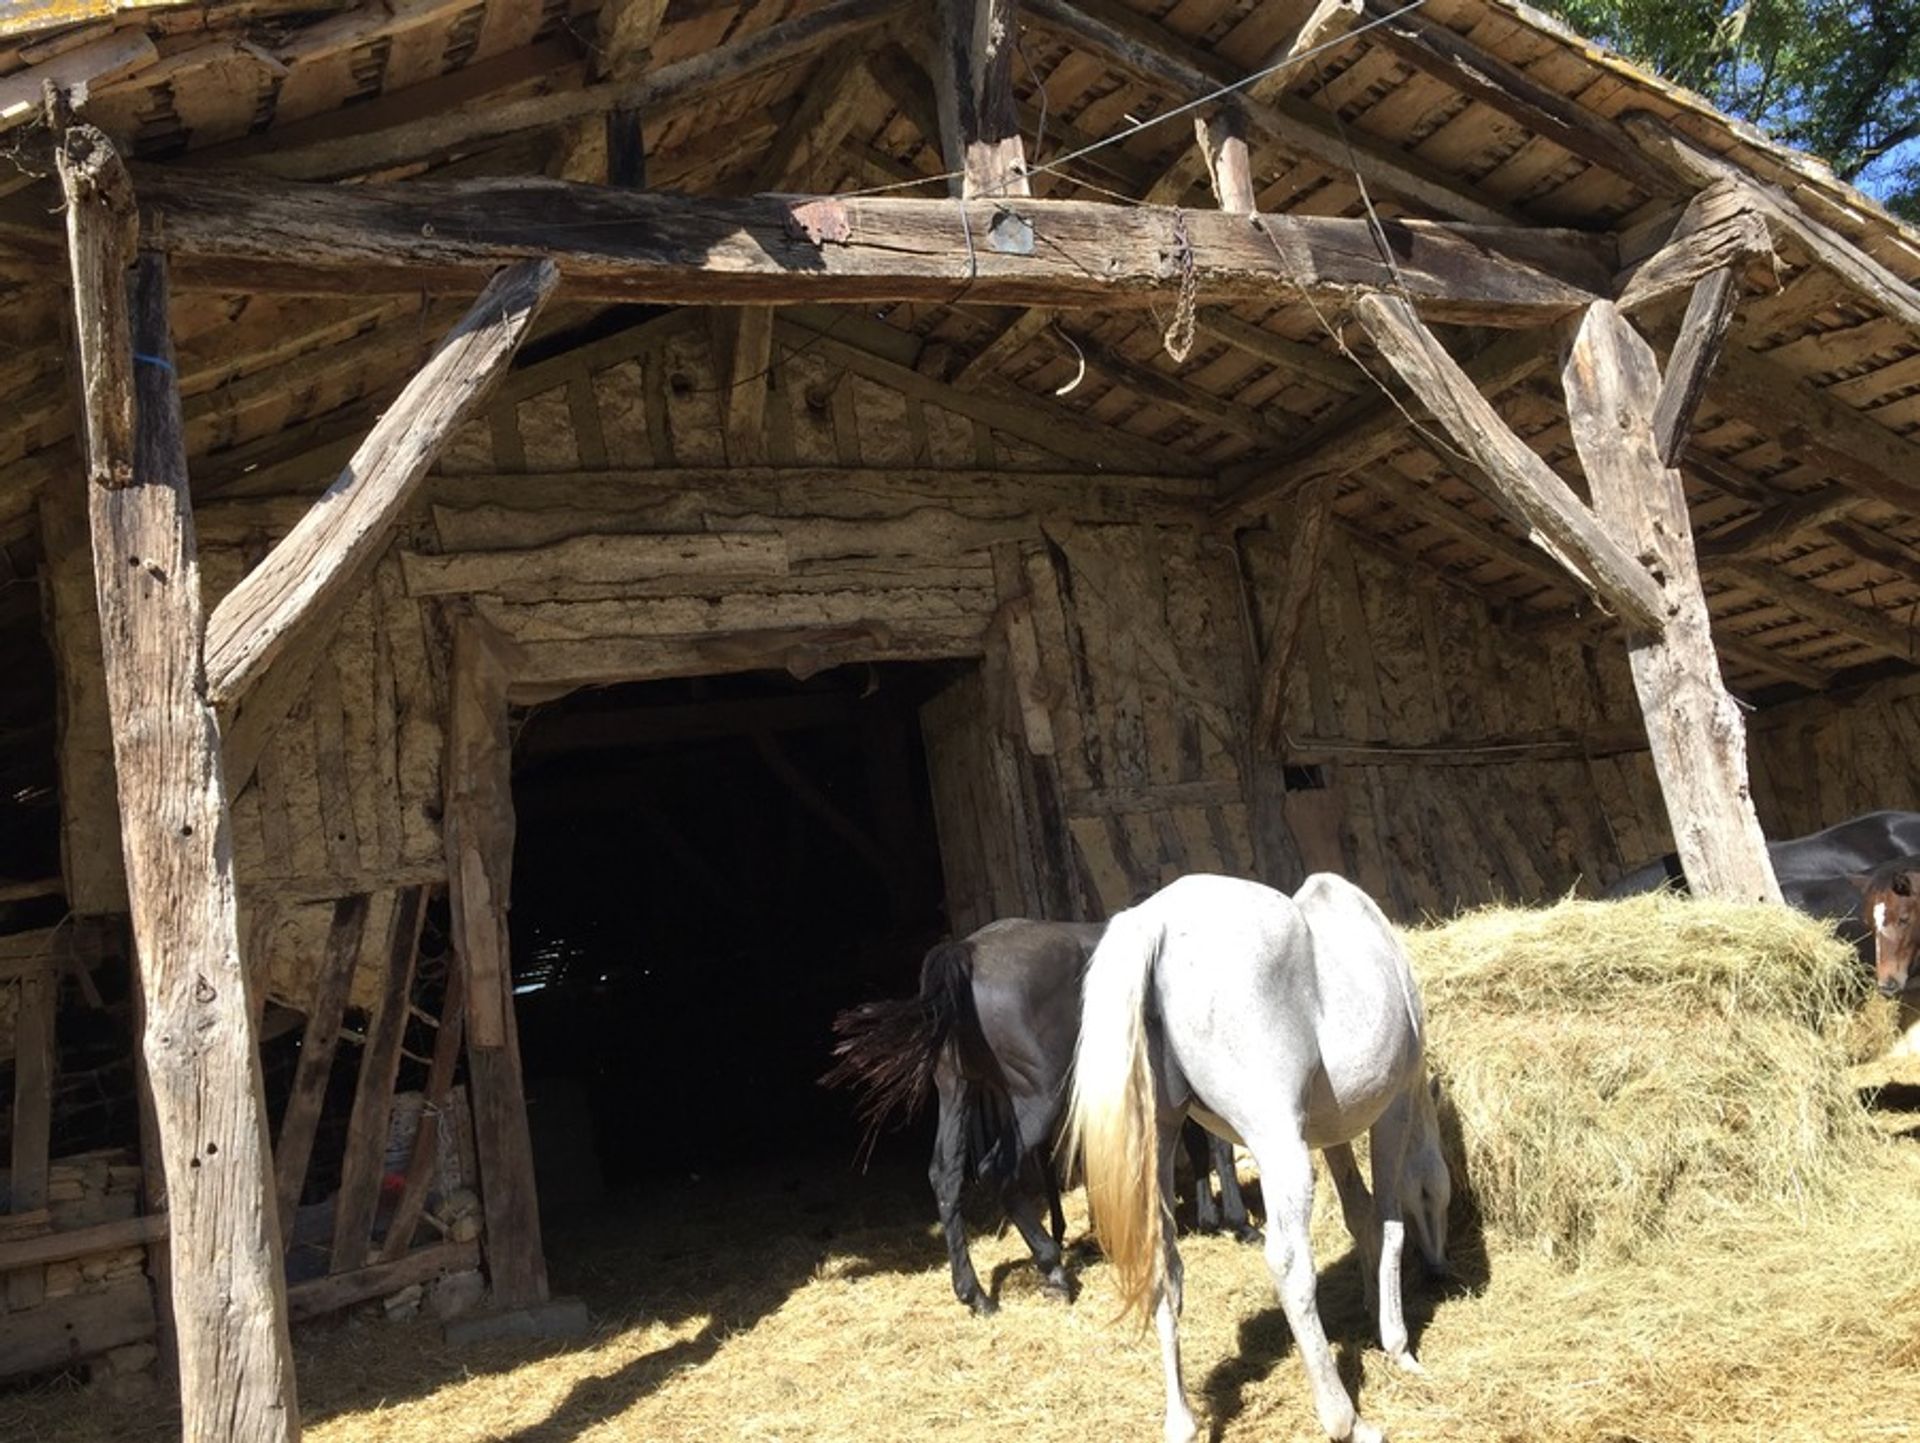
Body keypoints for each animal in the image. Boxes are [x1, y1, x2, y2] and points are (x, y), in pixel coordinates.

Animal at [821, 917, 1244, 1312]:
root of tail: (968, 950)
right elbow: (1218, 1146)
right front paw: (1236, 1222)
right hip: (1037, 1098)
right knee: (996, 1170)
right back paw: (1051, 1267)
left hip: (959, 1089)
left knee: (946, 1175)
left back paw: (976, 1293)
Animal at [1059, 867, 1443, 1443]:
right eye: (1437, 1197)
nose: (1442, 1270)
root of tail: (1156, 923)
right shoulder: (1392, 1110)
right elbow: (1389, 1222)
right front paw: (1397, 1345)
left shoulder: (1331, 1134)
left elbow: (1360, 1215)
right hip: (1278, 1144)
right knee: (1290, 1263)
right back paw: (1346, 1420)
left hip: (1160, 1143)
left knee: (1164, 1266)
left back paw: (1182, 1423)